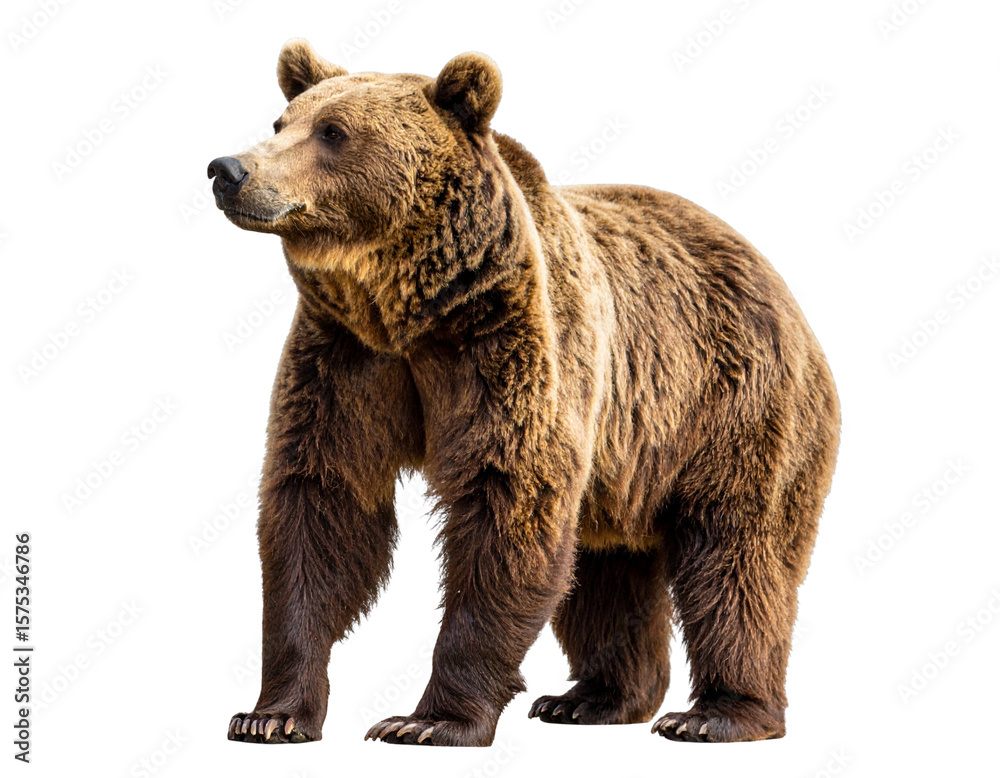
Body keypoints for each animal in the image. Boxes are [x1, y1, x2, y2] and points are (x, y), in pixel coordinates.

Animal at [209, 39, 840, 747]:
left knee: (738, 556)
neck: (409, 311)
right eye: (280, 121)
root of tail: (776, 278)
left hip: (735, 408)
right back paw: (591, 698)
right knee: (606, 570)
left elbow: (507, 504)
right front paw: (271, 714)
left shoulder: (509, 344)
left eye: (333, 132)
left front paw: (427, 720)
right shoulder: (345, 359)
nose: (228, 169)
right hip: (626, 463)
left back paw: (715, 713)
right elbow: (319, 504)